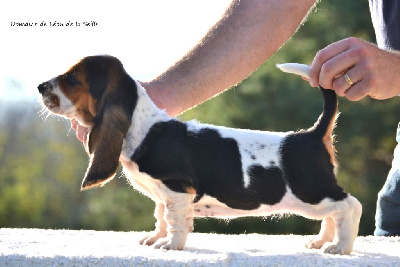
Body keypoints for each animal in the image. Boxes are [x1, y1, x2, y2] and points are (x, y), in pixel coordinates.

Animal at [38, 56, 362, 255]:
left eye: (72, 79)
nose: (40, 86)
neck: (142, 127)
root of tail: (311, 134)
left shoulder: (176, 189)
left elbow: (176, 221)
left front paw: (170, 245)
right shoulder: (163, 196)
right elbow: (161, 217)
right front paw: (156, 238)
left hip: (311, 192)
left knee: (349, 206)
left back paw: (340, 247)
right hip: (317, 198)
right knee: (333, 214)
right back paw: (321, 241)